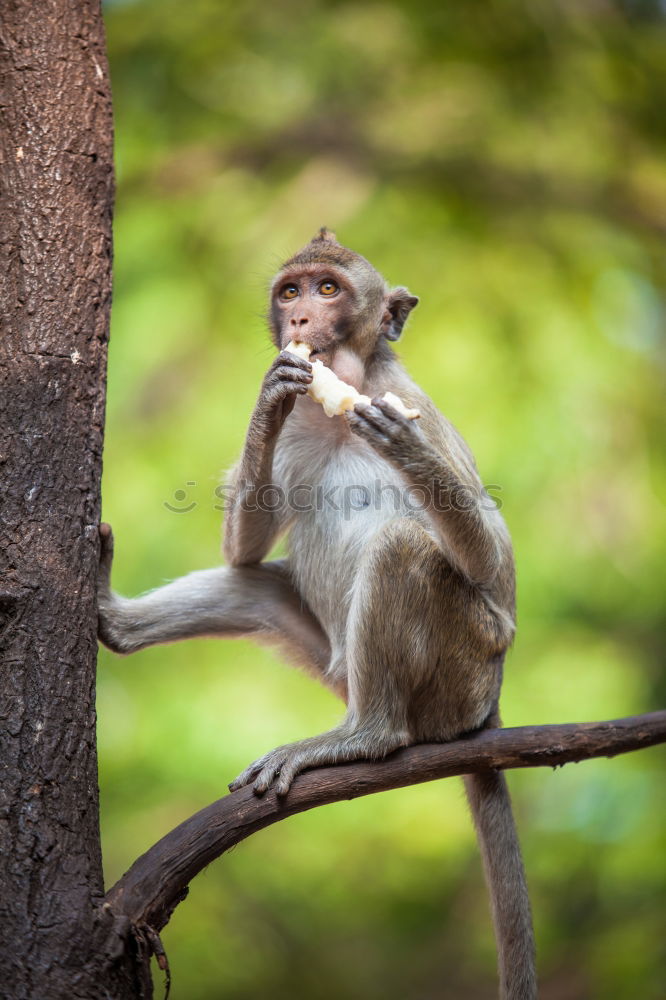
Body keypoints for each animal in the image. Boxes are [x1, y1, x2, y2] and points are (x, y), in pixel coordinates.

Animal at [97, 229, 536, 1000]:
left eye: (329, 290)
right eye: (291, 292)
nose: (299, 320)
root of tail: (487, 709)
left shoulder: (411, 400)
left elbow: (495, 571)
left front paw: (402, 444)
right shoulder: (301, 420)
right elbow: (244, 546)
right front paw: (269, 396)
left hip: (464, 670)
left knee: (404, 548)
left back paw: (366, 736)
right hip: (332, 662)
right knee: (254, 584)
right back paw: (114, 621)